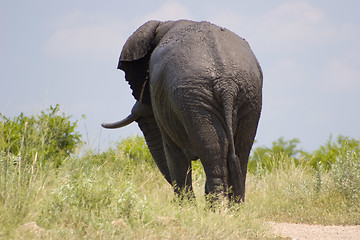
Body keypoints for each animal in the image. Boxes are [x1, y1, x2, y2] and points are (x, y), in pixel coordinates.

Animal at [102, 19, 262, 202]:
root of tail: (226, 84)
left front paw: (187, 206)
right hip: (246, 95)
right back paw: (232, 206)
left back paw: (218, 206)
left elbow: (173, 151)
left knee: (213, 153)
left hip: (195, 98)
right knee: (241, 152)